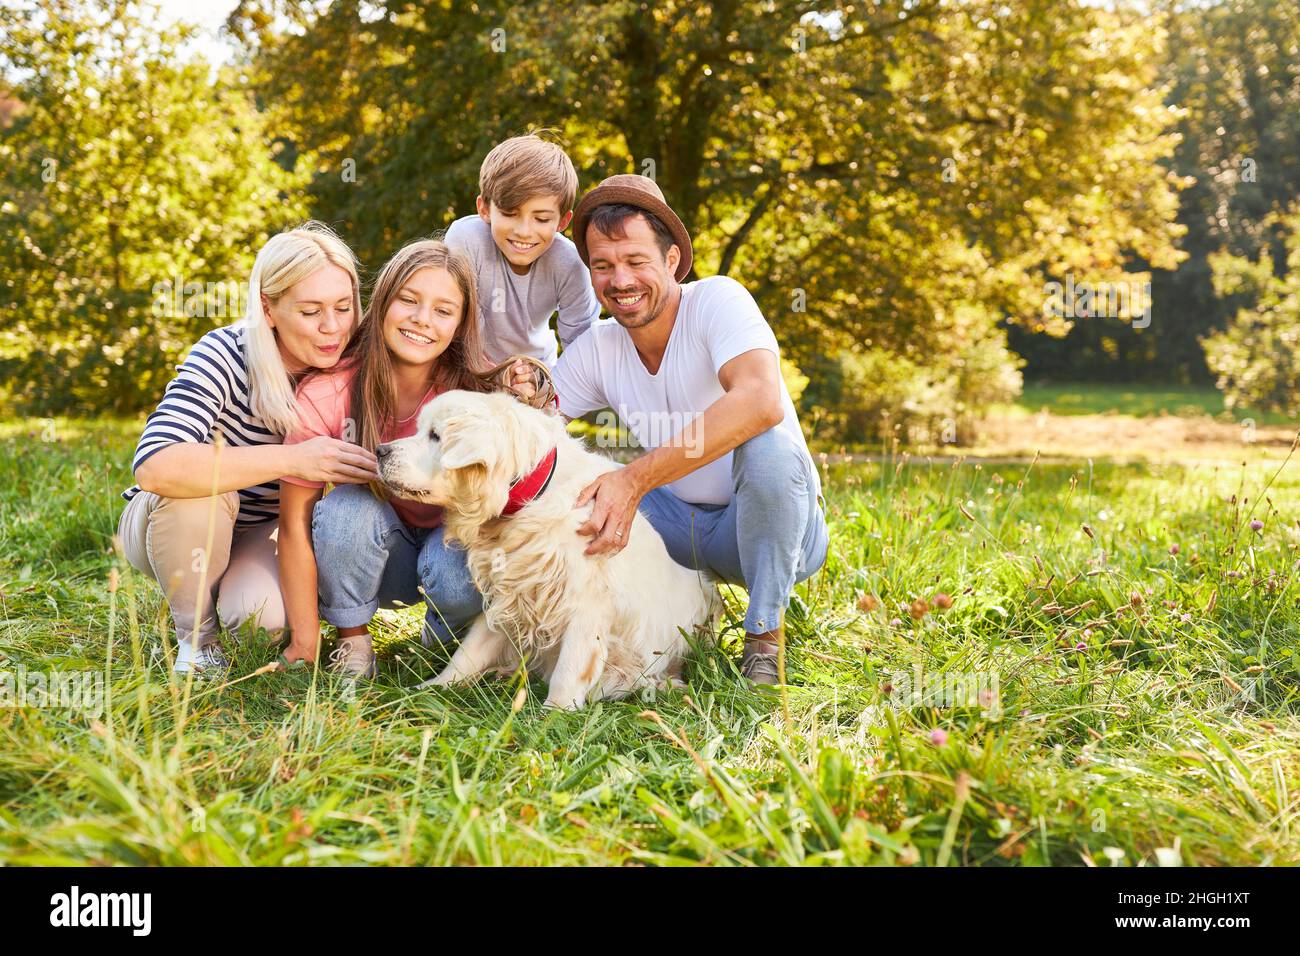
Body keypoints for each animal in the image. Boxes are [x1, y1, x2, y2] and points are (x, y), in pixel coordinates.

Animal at [377, 390, 722, 712]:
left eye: (435, 435)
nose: (380, 450)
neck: (527, 499)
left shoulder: (585, 601)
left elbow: (570, 665)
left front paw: (555, 712)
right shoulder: (511, 589)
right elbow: (471, 649)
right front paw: (433, 688)